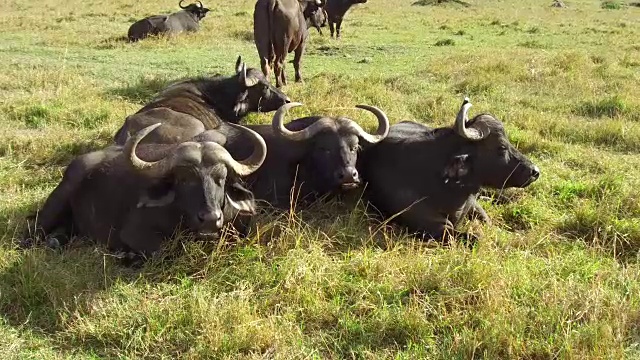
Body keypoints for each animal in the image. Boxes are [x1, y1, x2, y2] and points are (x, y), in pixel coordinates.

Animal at [22, 122, 268, 258]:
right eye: (184, 180)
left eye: (221, 178)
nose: (209, 218)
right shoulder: (133, 232)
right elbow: (165, 251)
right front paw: (128, 256)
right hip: (55, 204)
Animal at [358, 97, 544, 242]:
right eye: (501, 147)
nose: (535, 171)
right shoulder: (433, 226)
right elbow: (475, 238)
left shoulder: (473, 203)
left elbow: (487, 220)